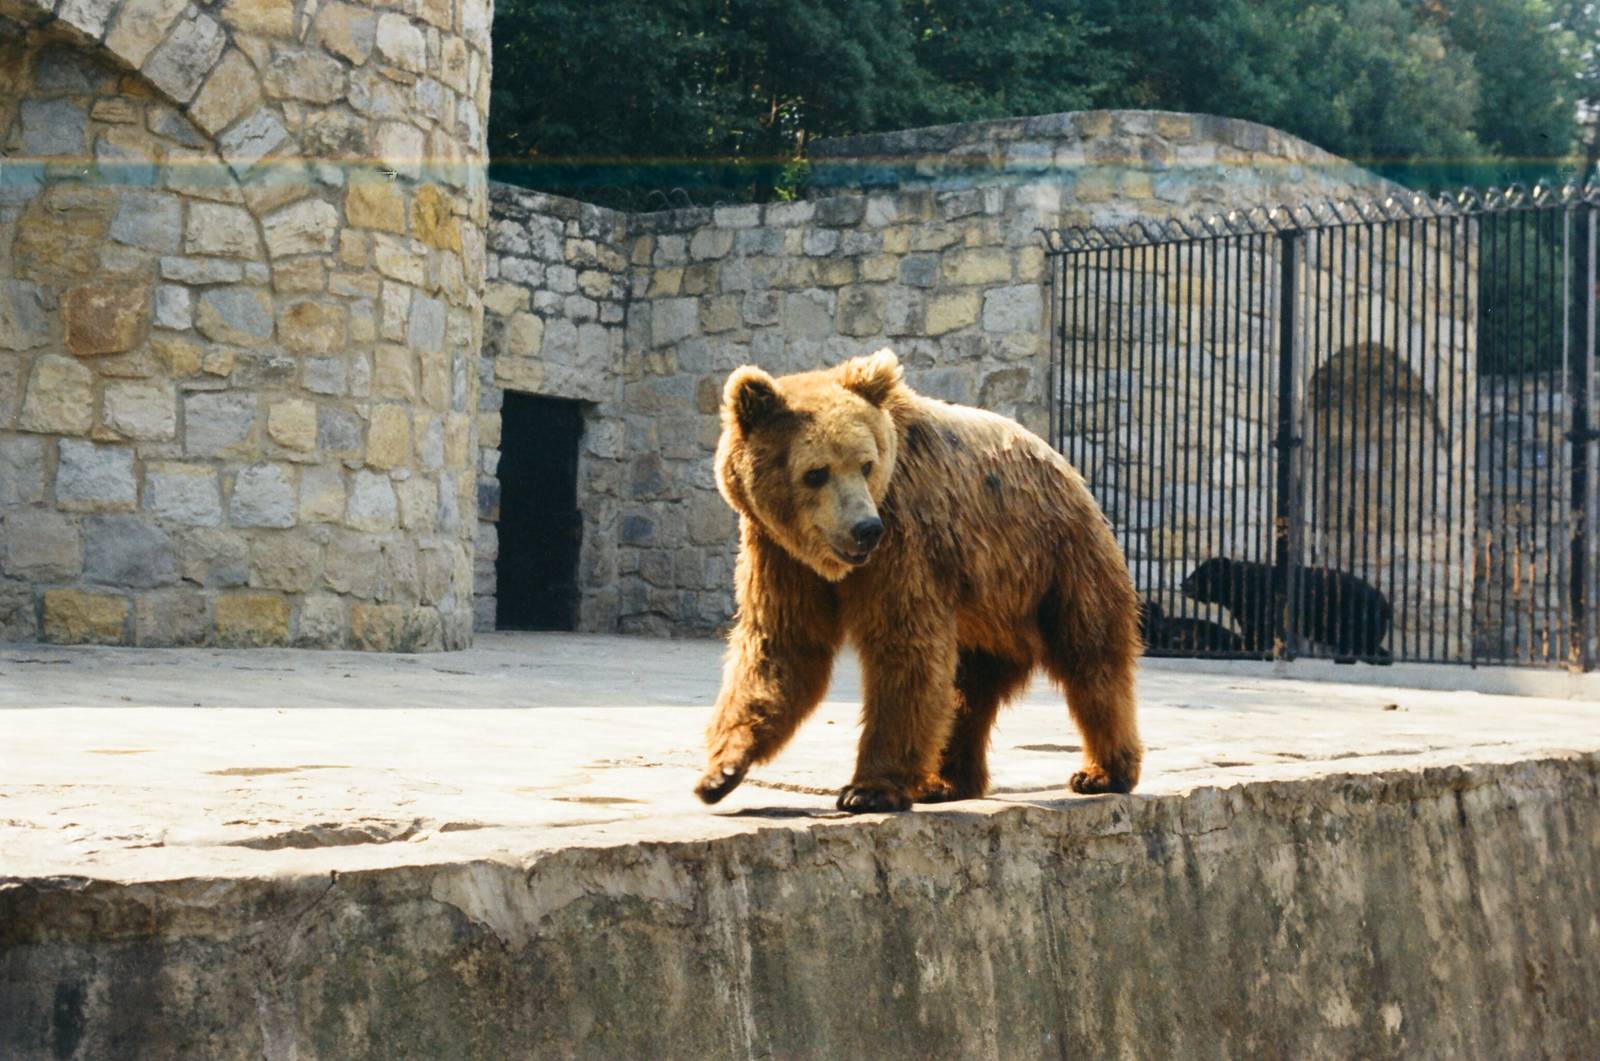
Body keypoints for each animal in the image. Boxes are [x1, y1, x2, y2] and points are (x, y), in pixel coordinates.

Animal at [694, 348, 1143, 813]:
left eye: (866, 464)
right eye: (816, 472)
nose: (865, 529)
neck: (830, 561)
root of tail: (1068, 469)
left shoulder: (903, 540)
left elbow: (904, 647)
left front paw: (867, 789)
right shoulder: (779, 555)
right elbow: (783, 646)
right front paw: (721, 771)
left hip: (1054, 563)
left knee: (1089, 658)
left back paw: (1103, 772)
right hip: (987, 607)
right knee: (970, 689)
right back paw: (945, 781)